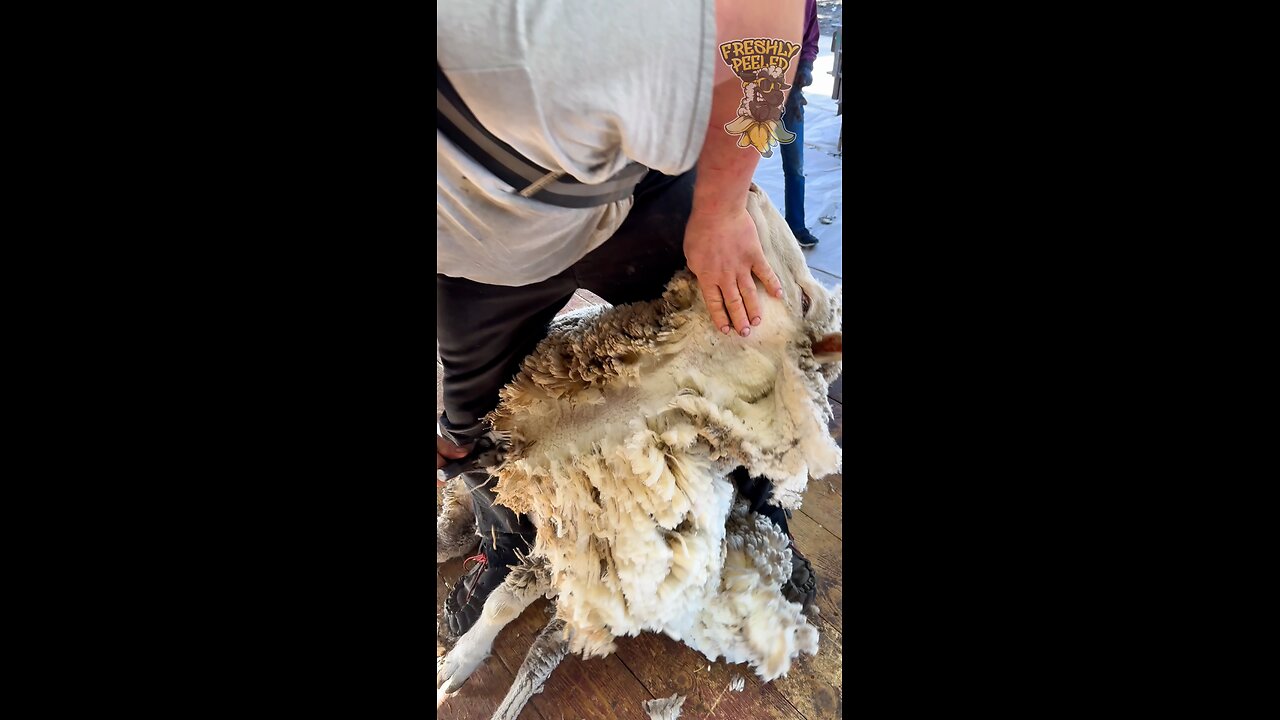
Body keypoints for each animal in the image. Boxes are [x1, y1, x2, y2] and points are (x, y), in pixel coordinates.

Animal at [435, 181, 844, 707]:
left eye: (805, 299)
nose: (752, 186)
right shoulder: (561, 524)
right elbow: (502, 604)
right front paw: (461, 660)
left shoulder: (587, 548)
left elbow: (530, 626)